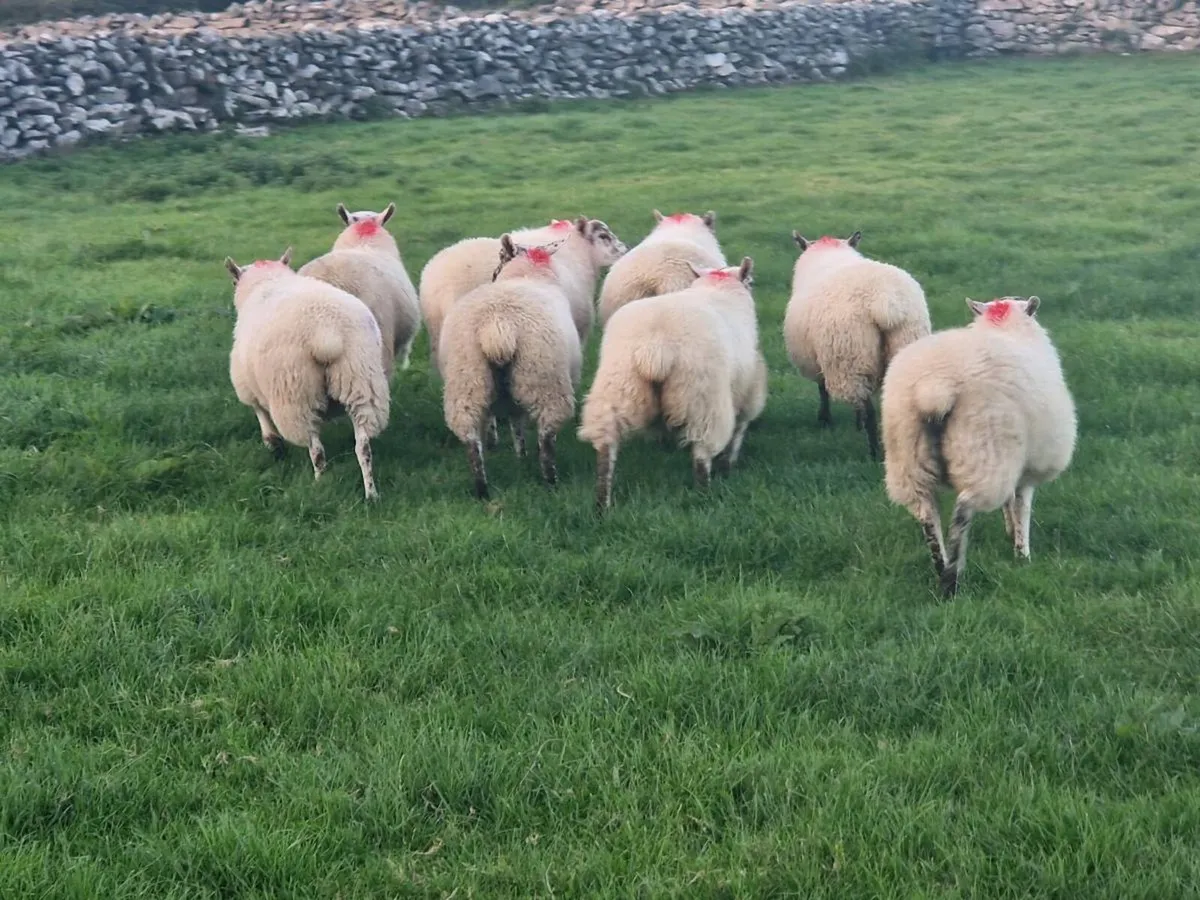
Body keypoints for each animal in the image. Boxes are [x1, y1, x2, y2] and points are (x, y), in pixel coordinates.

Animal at [225, 248, 390, 501]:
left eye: (234, 281)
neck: (268, 280)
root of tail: (326, 333)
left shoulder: (248, 386)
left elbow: (263, 418)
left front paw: (274, 447)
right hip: (362, 383)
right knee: (363, 447)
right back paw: (371, 494)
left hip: (297, 395)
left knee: (317, 450)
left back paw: (319, 485)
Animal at [438, 235, 582, 500]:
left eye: (501, 256)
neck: (529, 275)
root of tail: (497, 326)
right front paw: (523, 456)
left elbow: (515, 423)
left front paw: (519, 456)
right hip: (544, 379)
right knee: (547, 436)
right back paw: (551, 481)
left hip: (467, 379)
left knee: (471, 438)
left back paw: (482, 489)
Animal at [579, 256, 768, 514]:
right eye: (751, 281)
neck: (718, 287)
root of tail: (654, 345)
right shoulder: (748, 387)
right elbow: (740, 428)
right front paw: (728, 465)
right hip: (703, 396)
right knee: (702, 452)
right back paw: (704, 496)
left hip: (618, 386)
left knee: (606, 447)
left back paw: (602, 503)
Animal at [782, 231, 932, 460]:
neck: (829, 252)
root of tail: (885, 301)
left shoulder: (818, 358)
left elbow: (822, 390)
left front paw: (826, 420)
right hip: (906, 342)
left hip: (849, 357)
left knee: (868, 409)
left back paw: (873, 452)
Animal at [880, 296, 1077, 597]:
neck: (1004, 328)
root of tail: (935, 388)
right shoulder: (1025, 469)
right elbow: (1022, 507)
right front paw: (1022, 552)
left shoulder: (1014, 463)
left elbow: (1010, 503)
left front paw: (1010, 532)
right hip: (983, 452)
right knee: (964, 508)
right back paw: (952, 577)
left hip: (909, 456)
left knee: (927, 513)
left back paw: (941, 566)